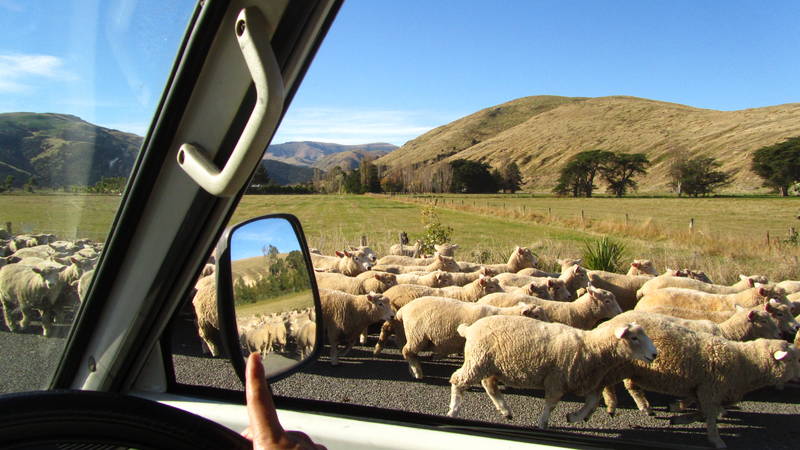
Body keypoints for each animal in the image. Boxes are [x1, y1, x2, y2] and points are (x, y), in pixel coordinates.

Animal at [394, 296, 544, 380]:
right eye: (537, 315)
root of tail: (404, 309)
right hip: (417, 336)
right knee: (406, 351)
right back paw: (417, 372)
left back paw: (413, 369)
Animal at [444, 316, 656, 428]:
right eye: (634, 338)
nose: (655, 354)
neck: (591, 346)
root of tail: (470, 328)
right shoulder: (557, 380)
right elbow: (551, 405)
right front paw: (543, 423)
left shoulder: (582, 380)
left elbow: (593, 402)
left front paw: (575, 417)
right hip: (478, 360)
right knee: (458, 380)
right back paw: (453, 410)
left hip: (491, 364)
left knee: (489, 385)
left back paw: (505, 410)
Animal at [596, 314, 796, 448]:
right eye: (764, 321)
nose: (781, 333)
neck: (743, 361)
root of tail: (607, 323)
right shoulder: (709, 389)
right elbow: (708, 415)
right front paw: (716, 440)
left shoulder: (701, 386)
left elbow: (699, 409)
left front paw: (678, 413)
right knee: (611, 386)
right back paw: (618, 405)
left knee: (626, 385)